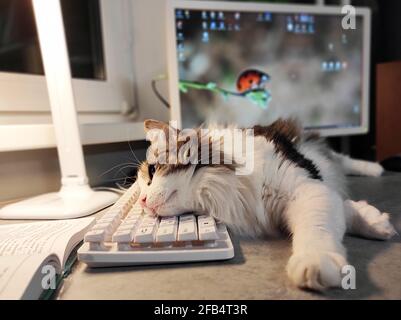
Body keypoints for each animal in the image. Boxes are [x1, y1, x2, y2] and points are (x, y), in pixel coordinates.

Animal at [127, 119, 394, 292]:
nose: (141, 202)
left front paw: (316, 261)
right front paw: (372, 219)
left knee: (342, 159)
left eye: (152, 171)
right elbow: (341, 208)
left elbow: (317, 227)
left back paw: (375, 168)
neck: (229, 186)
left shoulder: (305, 189)